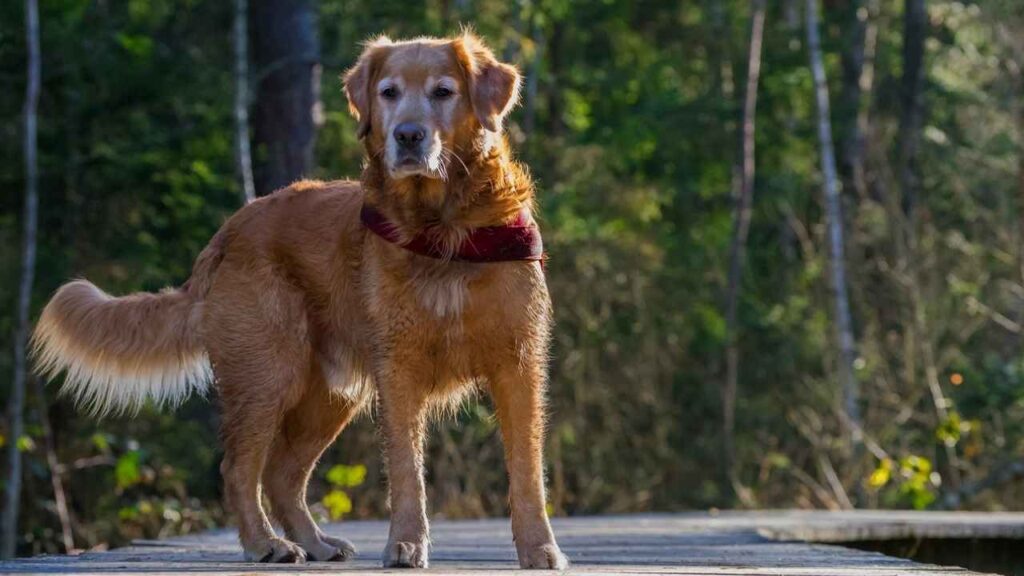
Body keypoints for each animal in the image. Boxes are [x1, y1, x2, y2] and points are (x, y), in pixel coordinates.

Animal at [32, 32, 573, 569]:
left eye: (444, 92)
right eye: (389, 93)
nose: (407, 136)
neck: (444, 229)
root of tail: (228, 232)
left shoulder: (518, 364)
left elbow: (527, 468)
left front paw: (539, 546)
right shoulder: (399, 367)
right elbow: (405, 468)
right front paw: (406, 543)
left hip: (330, 394)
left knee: (282, 474)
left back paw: (315, 543)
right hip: (269, 373)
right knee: (240, 468)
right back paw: (265, 543)